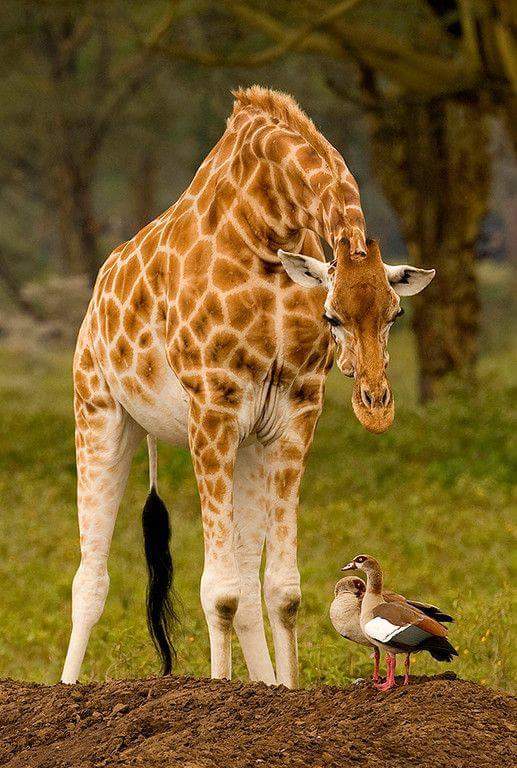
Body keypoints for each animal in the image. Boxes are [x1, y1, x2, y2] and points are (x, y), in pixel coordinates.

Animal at [60, 87, 434, 688]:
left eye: (396, 312)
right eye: (331, 316)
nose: (375, 406)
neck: (267, 224)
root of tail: (98, 291)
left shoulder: (293, 417)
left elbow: (281, 591)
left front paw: (281, 692)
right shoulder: (211, 408)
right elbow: (221, 592)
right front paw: (219, 690)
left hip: (243, 446)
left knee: (247, 585)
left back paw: (262, 682)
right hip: (99, 411)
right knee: (89, 582)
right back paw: (67, 690)